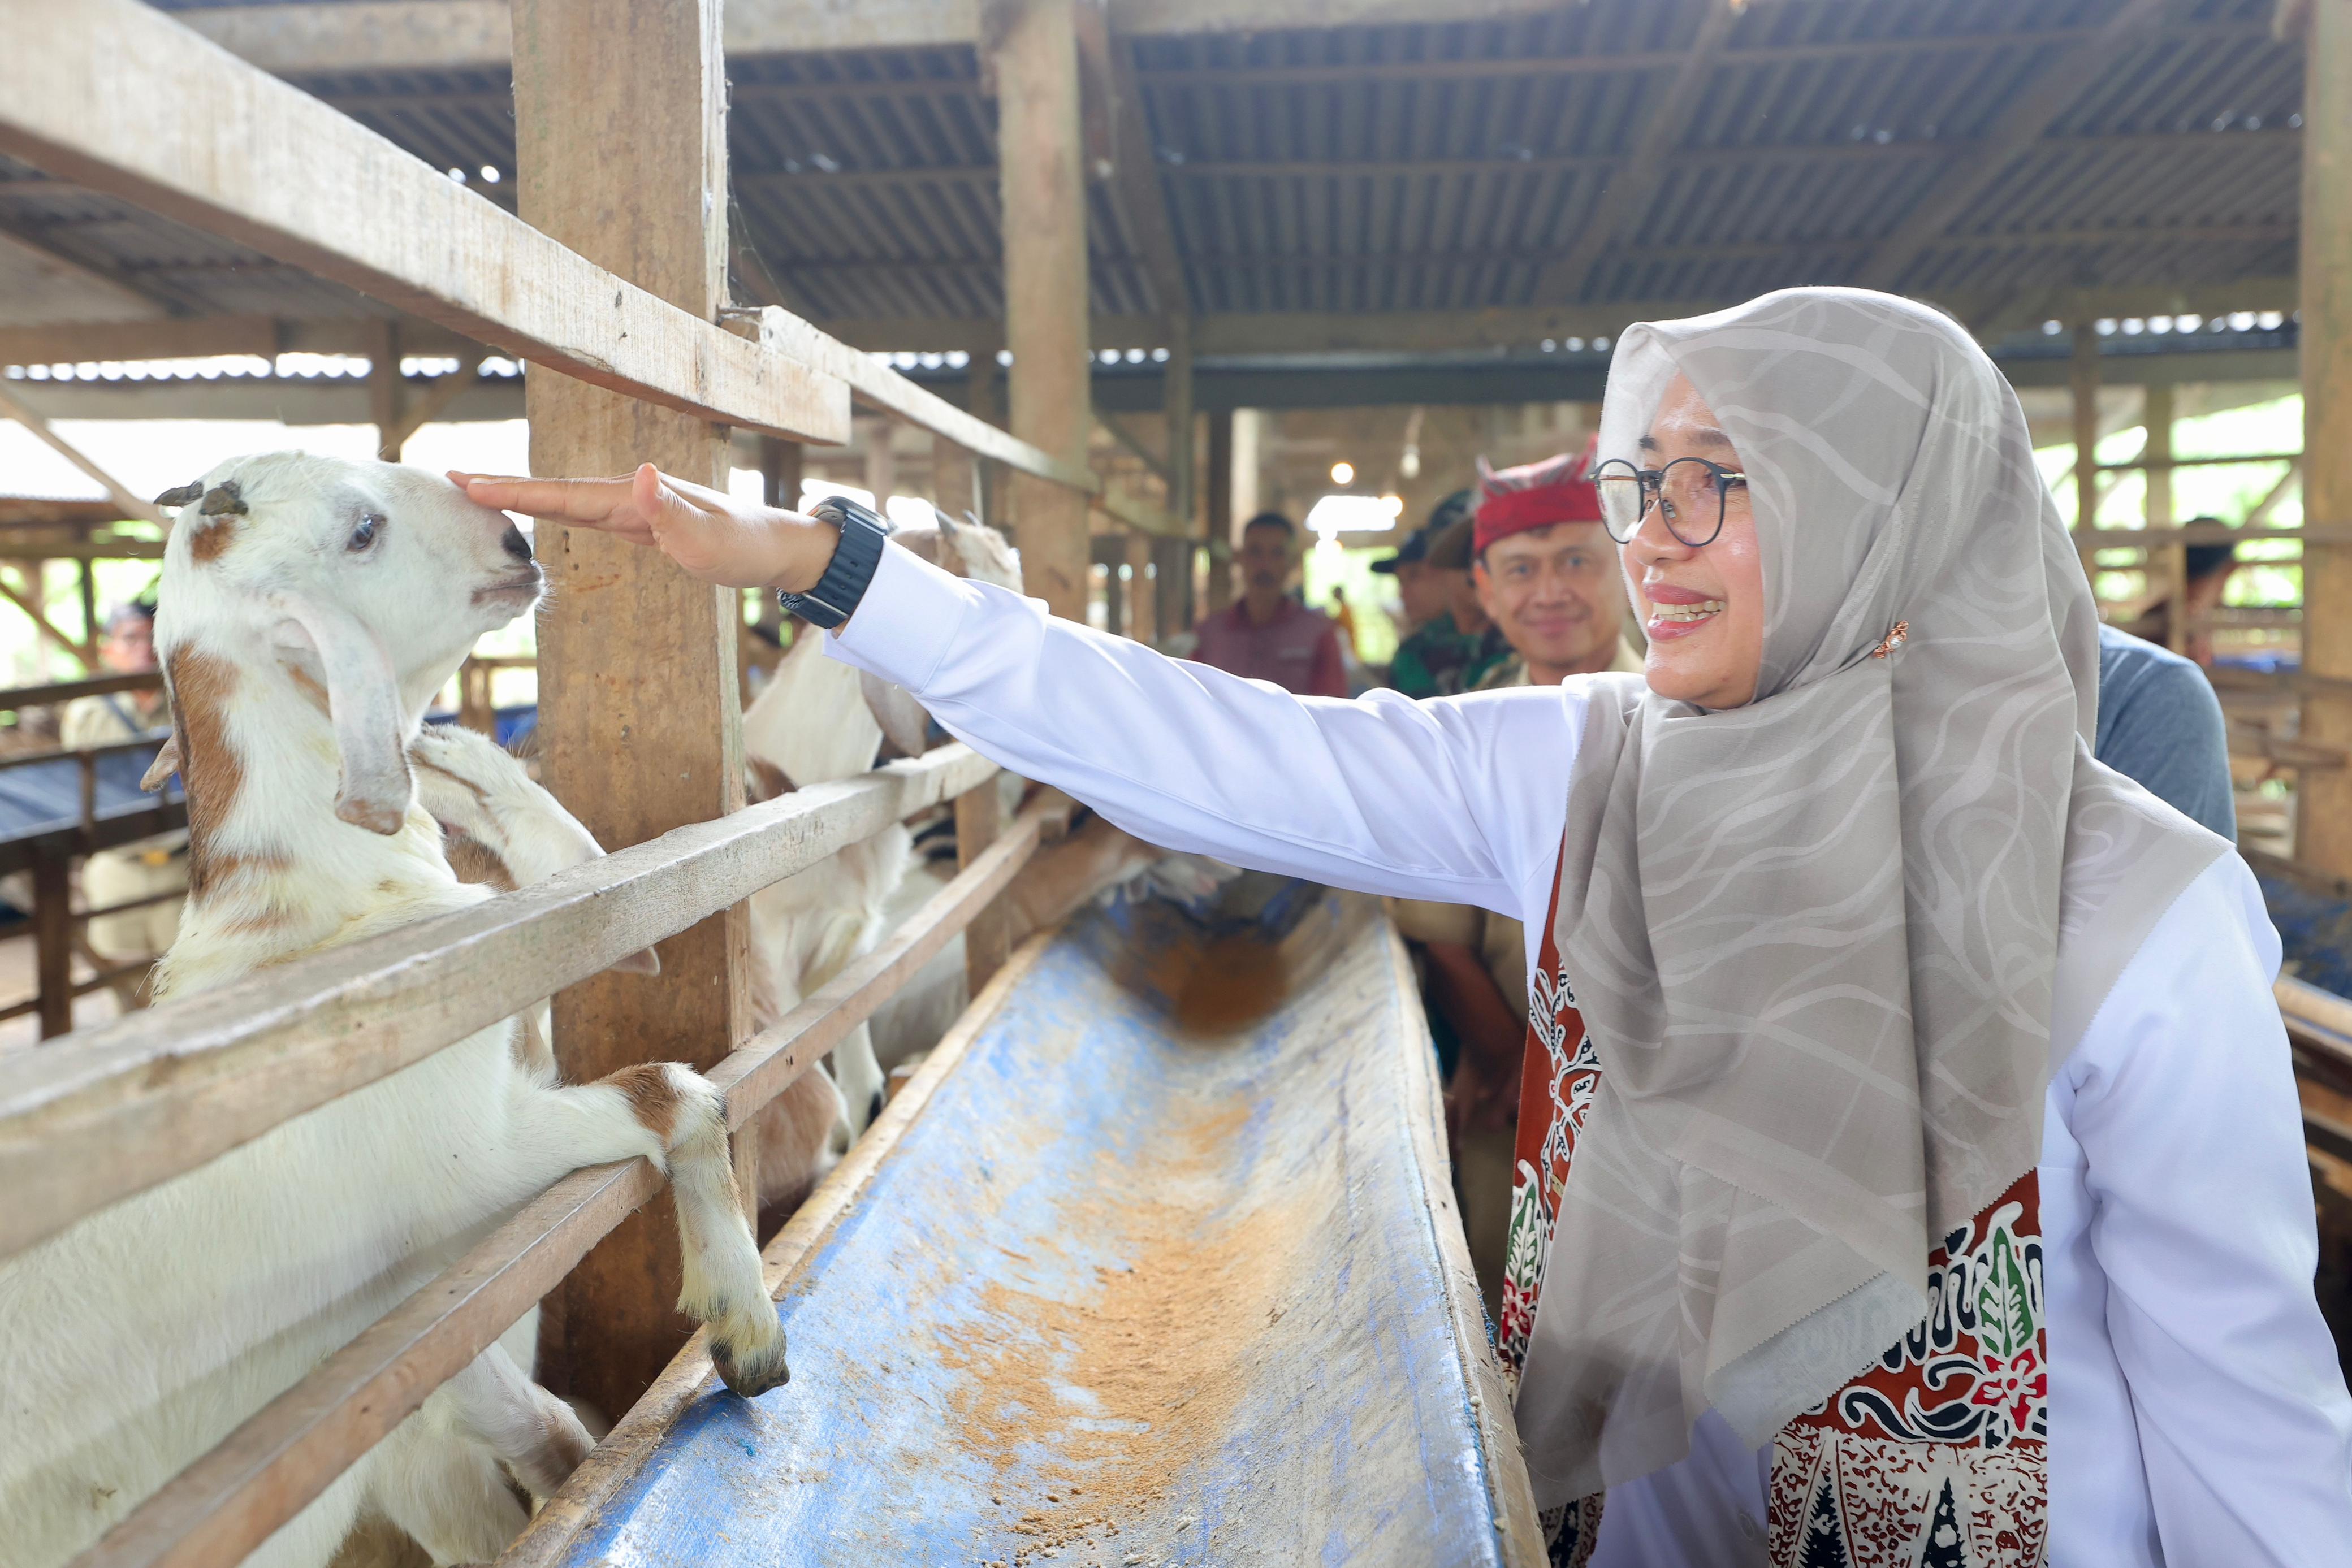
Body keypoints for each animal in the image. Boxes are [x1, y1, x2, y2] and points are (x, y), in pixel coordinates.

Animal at [0, 453, 790, 1568]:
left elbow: (535, 1422)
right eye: (362, 531)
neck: (326, 917)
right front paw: (743, 1324)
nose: (521, 544)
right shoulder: (469, 1164)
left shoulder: (418, 1323)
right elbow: (678, 1091)